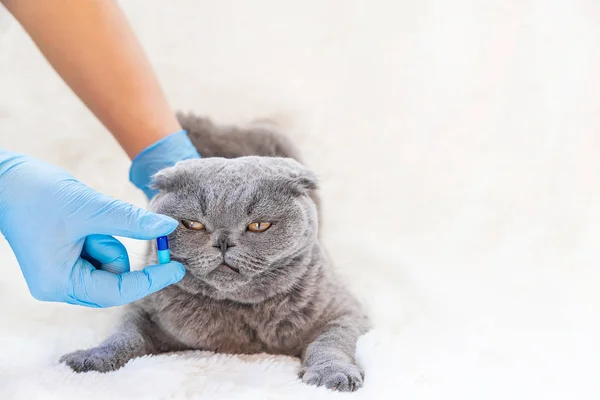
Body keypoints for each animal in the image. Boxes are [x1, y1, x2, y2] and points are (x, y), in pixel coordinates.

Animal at [61, 112, 370, 390]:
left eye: (259, 225)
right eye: (193, 224)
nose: (223, 242)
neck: (236, 312)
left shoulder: (344, 311)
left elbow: (330, 342)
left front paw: (332, 374)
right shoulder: (143, 310)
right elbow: (123, 335)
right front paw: (93, 357)